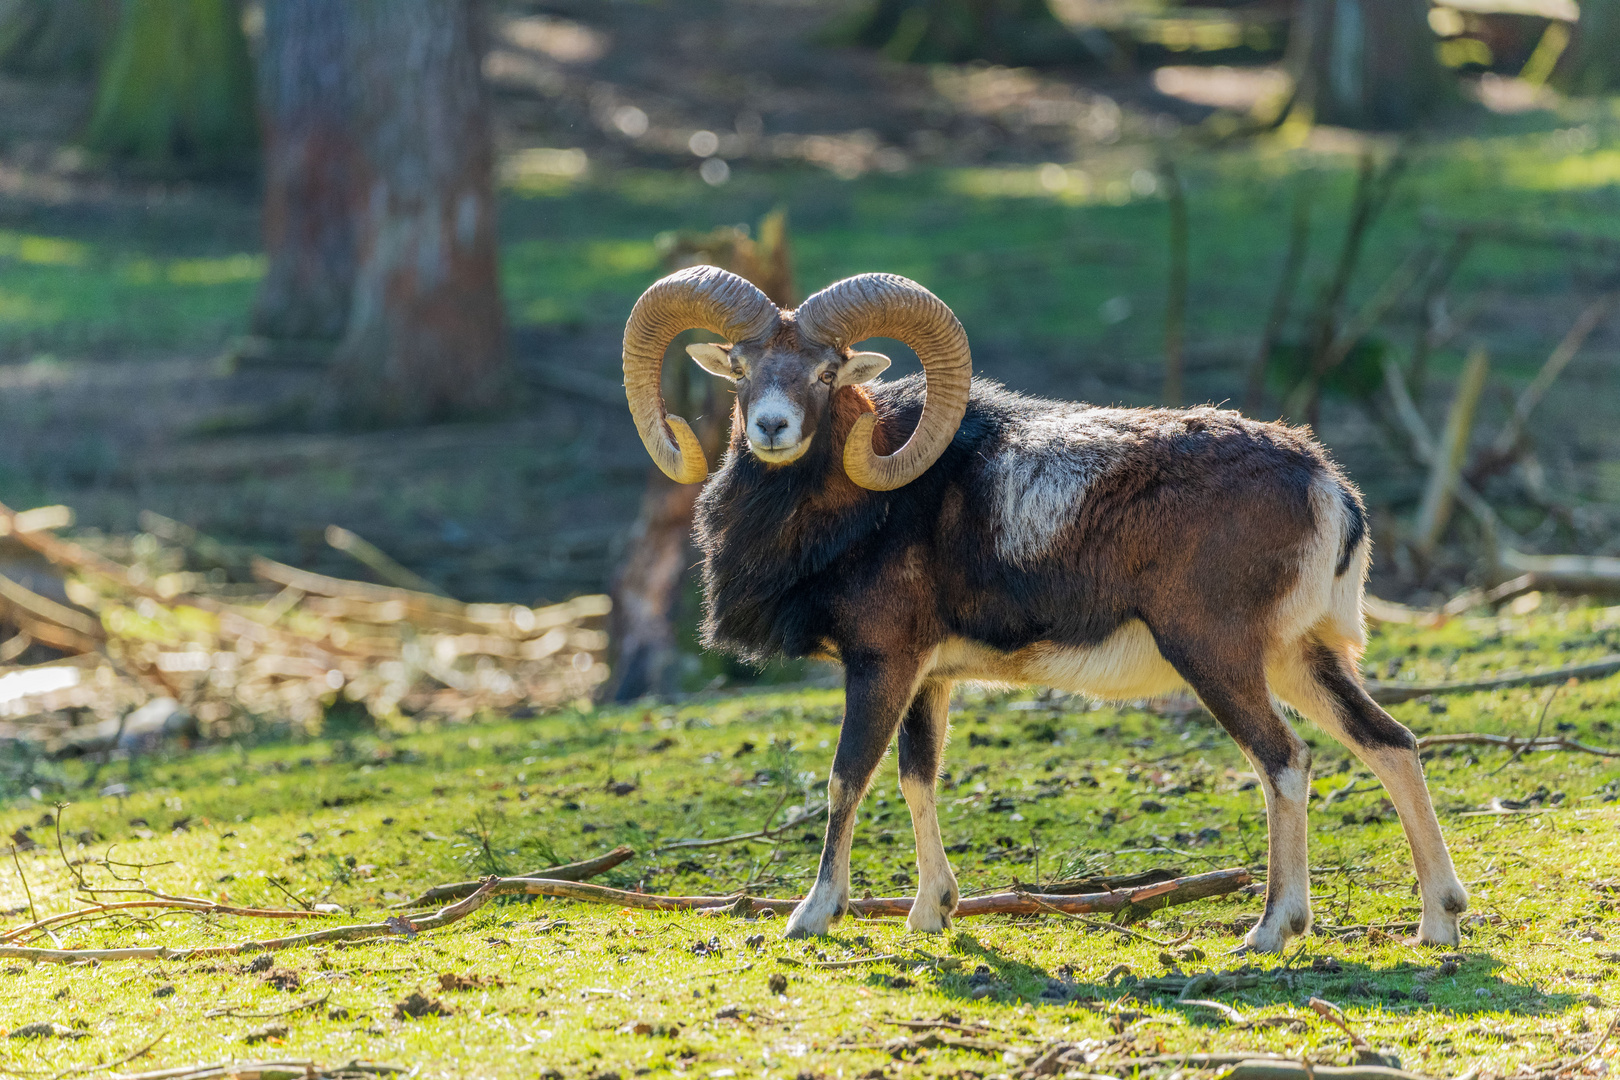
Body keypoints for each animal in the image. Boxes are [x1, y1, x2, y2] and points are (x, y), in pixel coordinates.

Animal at [615, 265, 1470, 952]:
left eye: (826, 373)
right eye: (741, 366)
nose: (771, 428)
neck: (862, 509)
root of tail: (1328, 487)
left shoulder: (881, 663)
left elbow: (846, 778)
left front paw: (813, 913)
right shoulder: (929, 679)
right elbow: (918, 778)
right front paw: (930, 913)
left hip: (1217, 657)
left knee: (1285, 762)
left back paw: (1270, 930)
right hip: (1301, 660)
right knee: (1391, 744)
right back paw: (1437, 923)